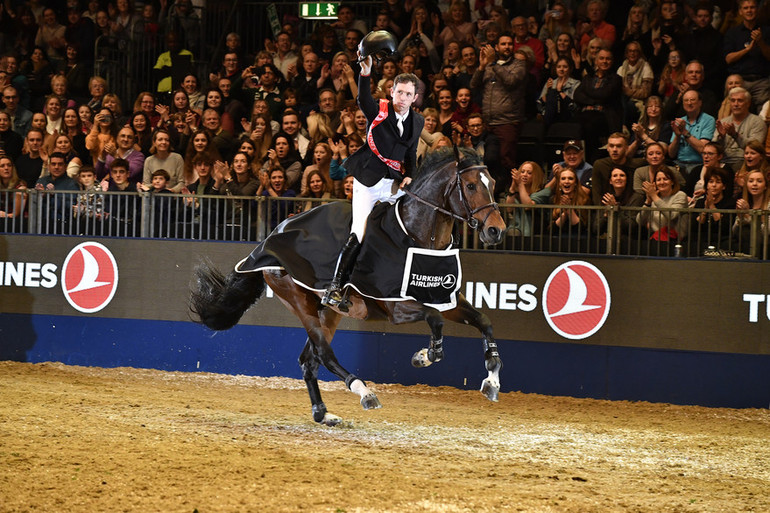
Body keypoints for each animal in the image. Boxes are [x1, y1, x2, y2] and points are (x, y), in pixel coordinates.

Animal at [190, 147, 508, 424]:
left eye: (492, 183)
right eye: (470, 186)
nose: (497, 231)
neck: (418, 236)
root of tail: (274, 233)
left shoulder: (445, 299)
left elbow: (484, 321)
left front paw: (491, 381)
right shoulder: (396, 308)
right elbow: (436, 322)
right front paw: (424, 356)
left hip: (328, 311)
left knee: (309, 359)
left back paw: (323, 414)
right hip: (298, 299)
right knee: (323, 354)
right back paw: (363, 391)